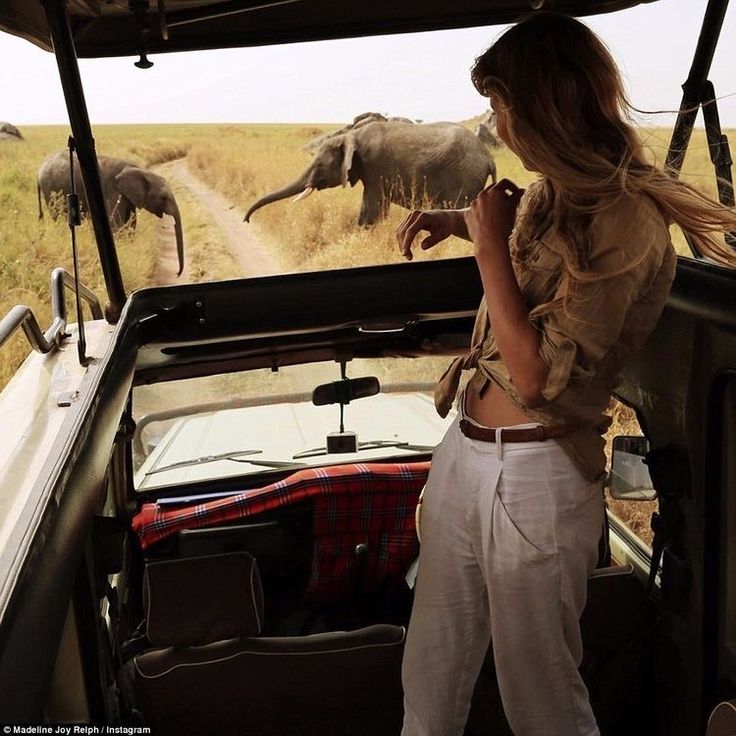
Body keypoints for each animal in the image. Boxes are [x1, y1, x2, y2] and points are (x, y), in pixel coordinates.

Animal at [38, 151, 185, 278]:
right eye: (163, 198)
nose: (176, 274)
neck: (141, 170)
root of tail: (39, 171)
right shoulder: (112, 191)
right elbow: (117, 225)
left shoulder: (128, 196)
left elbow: (131, 224)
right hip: (51, 192)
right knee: (59, 219)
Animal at [244, 120, 498, 227]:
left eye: (319, 165)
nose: (246, 221)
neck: (351, 135)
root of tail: (488, 157)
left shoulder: (377, 168)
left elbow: (372, 206)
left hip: (464, 178)